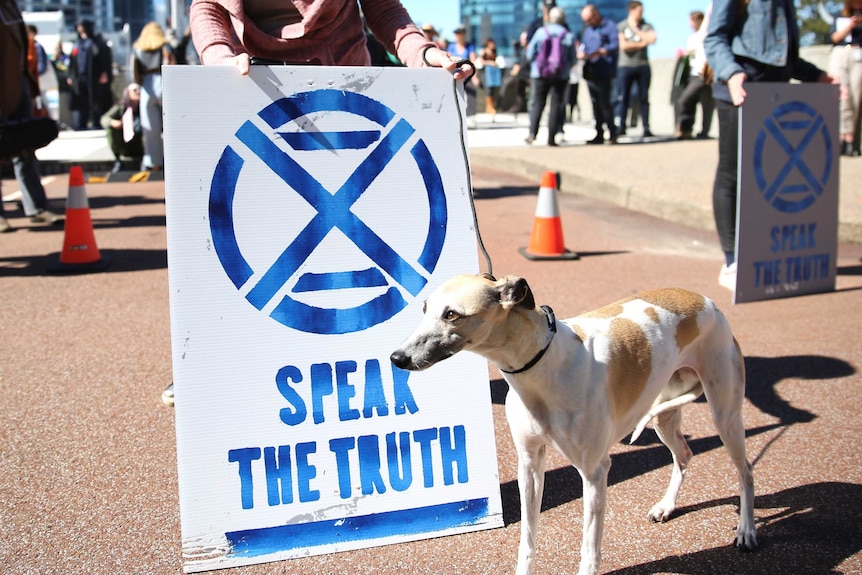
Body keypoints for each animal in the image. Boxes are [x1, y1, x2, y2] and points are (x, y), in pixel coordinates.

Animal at [392, 274, 756, 575]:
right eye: (425, 308)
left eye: (452, 314)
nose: (397, 358)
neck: (542, 364)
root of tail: (704, 300)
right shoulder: (529, 464)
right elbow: (528, 537)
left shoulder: (594, 472)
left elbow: (589, 548)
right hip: (664, 414)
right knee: (683, 454)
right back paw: (666, 506)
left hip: (724, 413)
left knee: (746, 471)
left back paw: (747, 530)